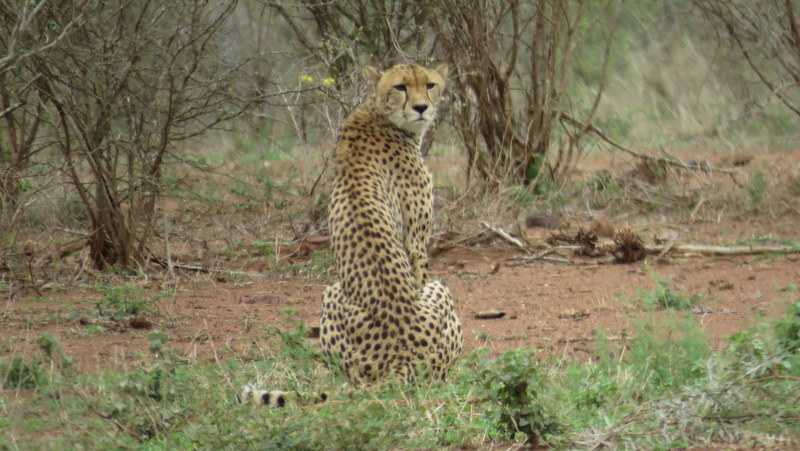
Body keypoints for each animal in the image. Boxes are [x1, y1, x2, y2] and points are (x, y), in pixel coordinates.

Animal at [238, 63, 463, 405]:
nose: (421, 108)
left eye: (430, 85)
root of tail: (401, 356)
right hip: (347, 291)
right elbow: (418, 264)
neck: (378, 114)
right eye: (400, 87)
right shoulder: (416, 243)